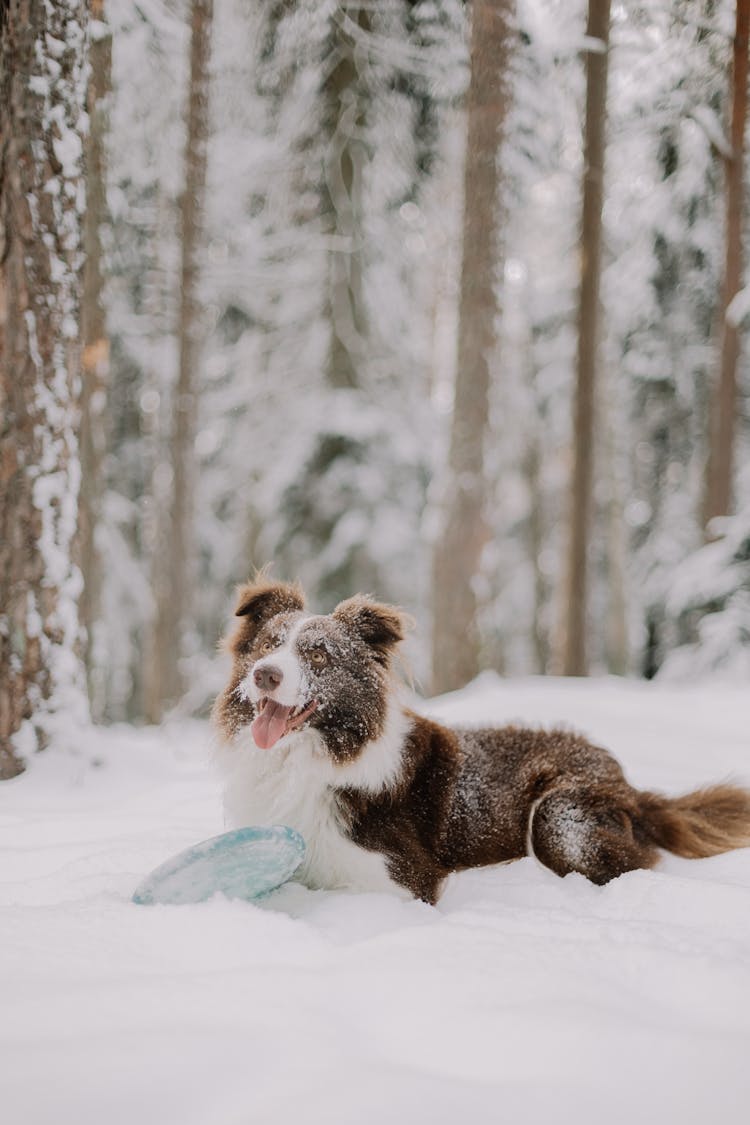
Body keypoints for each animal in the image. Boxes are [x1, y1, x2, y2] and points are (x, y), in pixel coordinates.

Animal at [211, 580, 750, 904]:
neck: (303, 758)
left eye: (319, 655)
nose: (264, 674)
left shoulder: (400, 879)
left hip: (559, 816)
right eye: (267, 646)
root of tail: (628, 782)